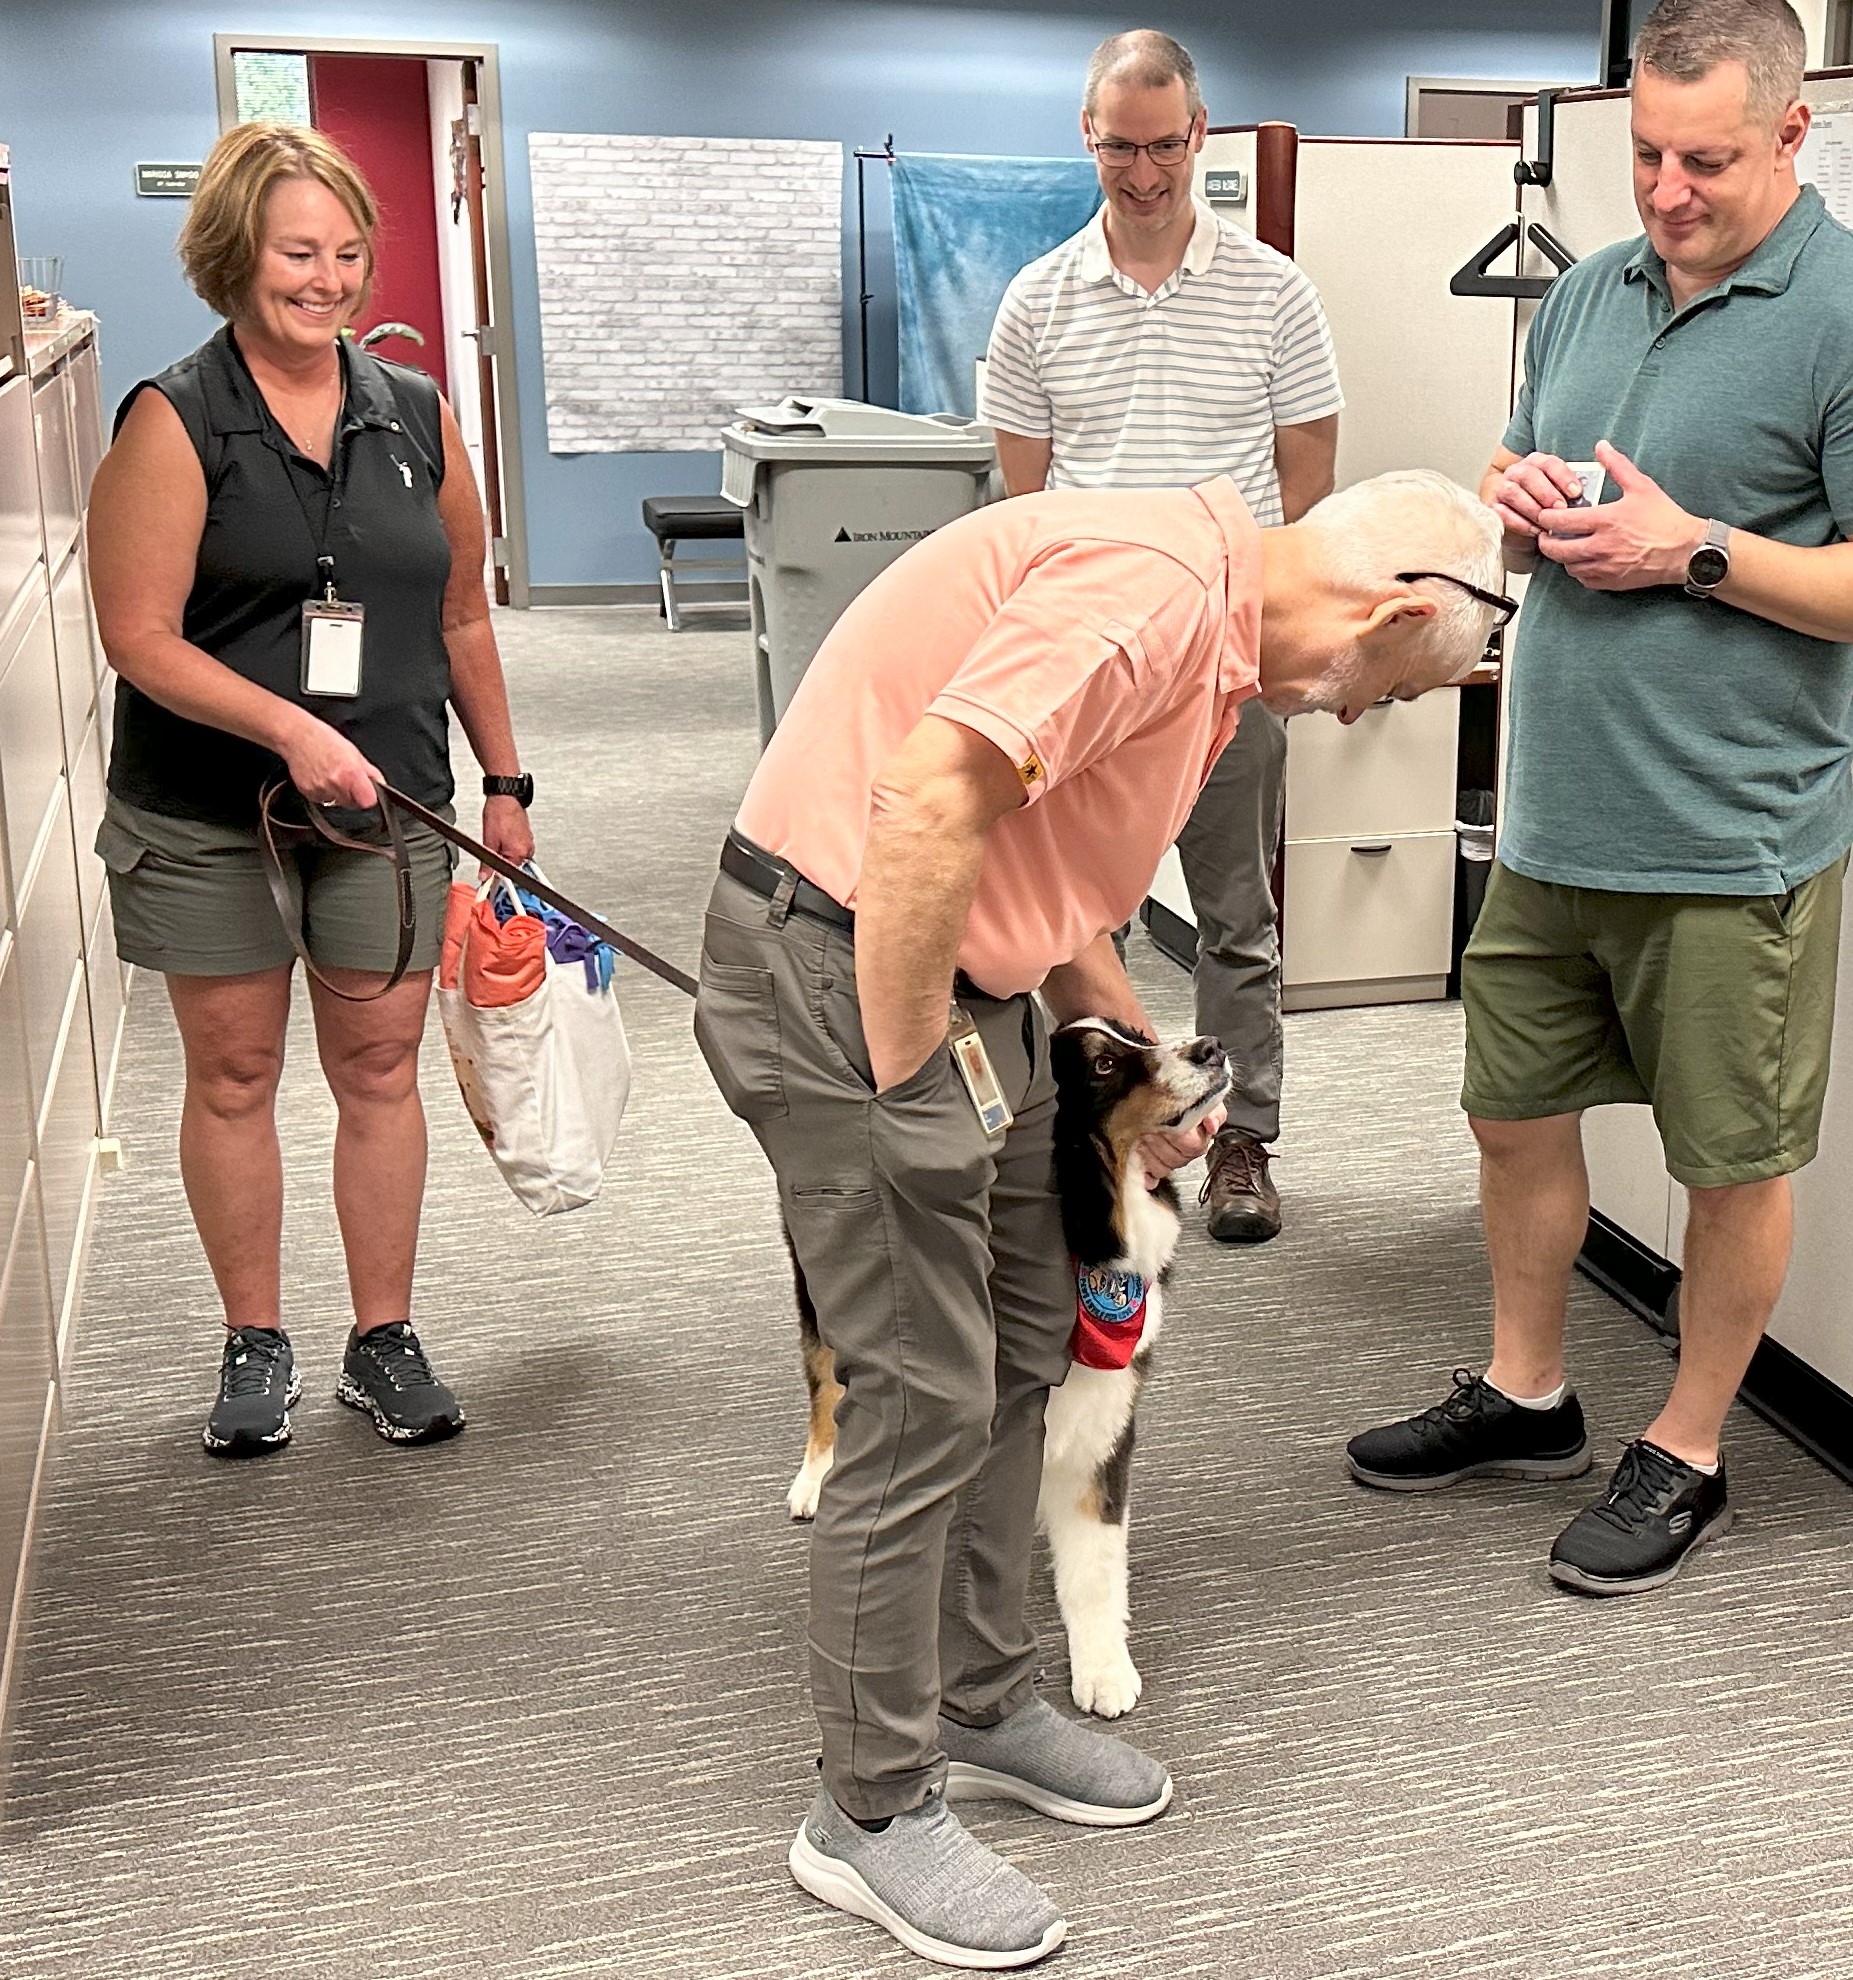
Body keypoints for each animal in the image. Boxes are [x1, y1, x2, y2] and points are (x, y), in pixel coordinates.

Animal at [783, 1021, 1227, 1718]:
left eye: (1134, 1035)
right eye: (1103, 1066)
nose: (1210, 1047)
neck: (1089, 1228)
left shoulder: (1103, 1423)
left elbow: (1095, 1567)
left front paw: (1104, 1668)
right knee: (826, 1381)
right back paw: (817, 1473)